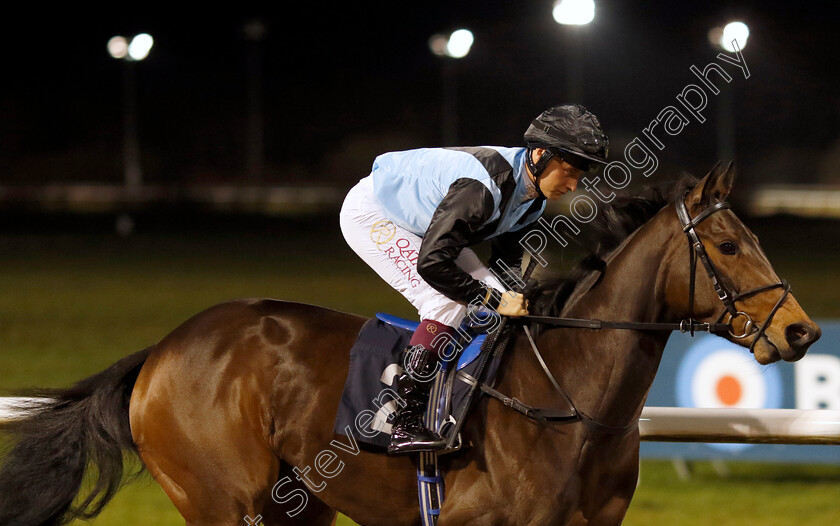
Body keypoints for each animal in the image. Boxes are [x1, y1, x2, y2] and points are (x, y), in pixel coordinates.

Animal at [0, 166, 820, 526]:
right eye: (726, 244)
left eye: (751, 237)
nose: (801, 330)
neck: (573, 402)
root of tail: (164, 350)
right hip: (222, 503)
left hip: (299, 505)